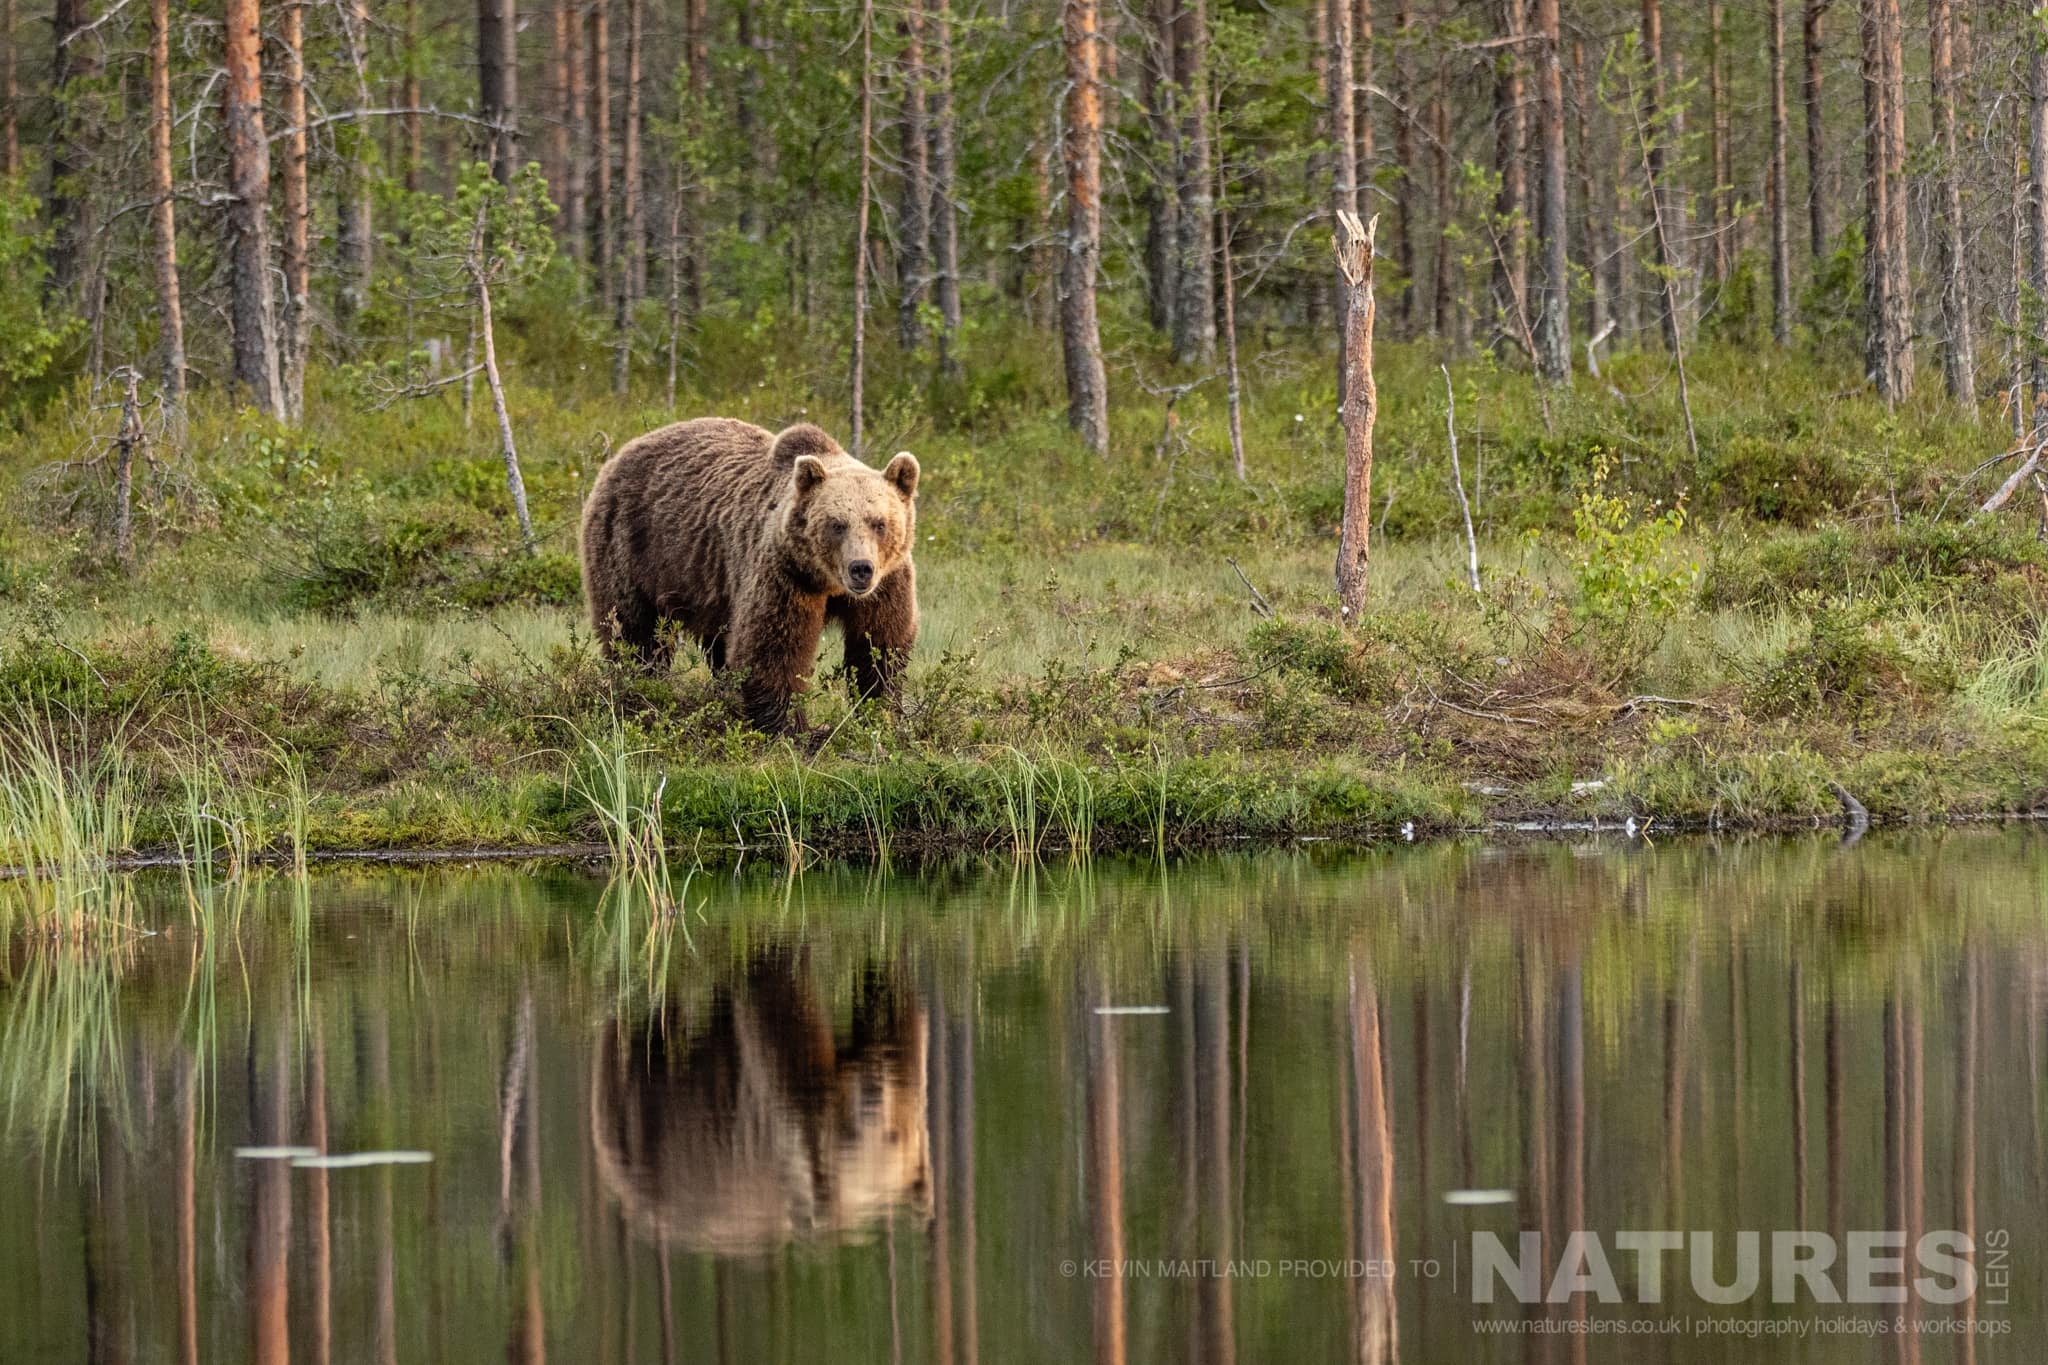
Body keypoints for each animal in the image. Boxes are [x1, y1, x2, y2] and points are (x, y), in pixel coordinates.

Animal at [579, 417, 920, 734]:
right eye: (837, 524)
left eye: (879, 523)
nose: (860, 568)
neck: (827, 583)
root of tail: (620, 453)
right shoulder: (785, 575)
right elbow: (771, 649)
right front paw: (790, 727)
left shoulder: (887, 584)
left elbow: (879, 646)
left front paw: (882, 711)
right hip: (630, 546)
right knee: (634, 631)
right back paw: (640, 688)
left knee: (716, 644)